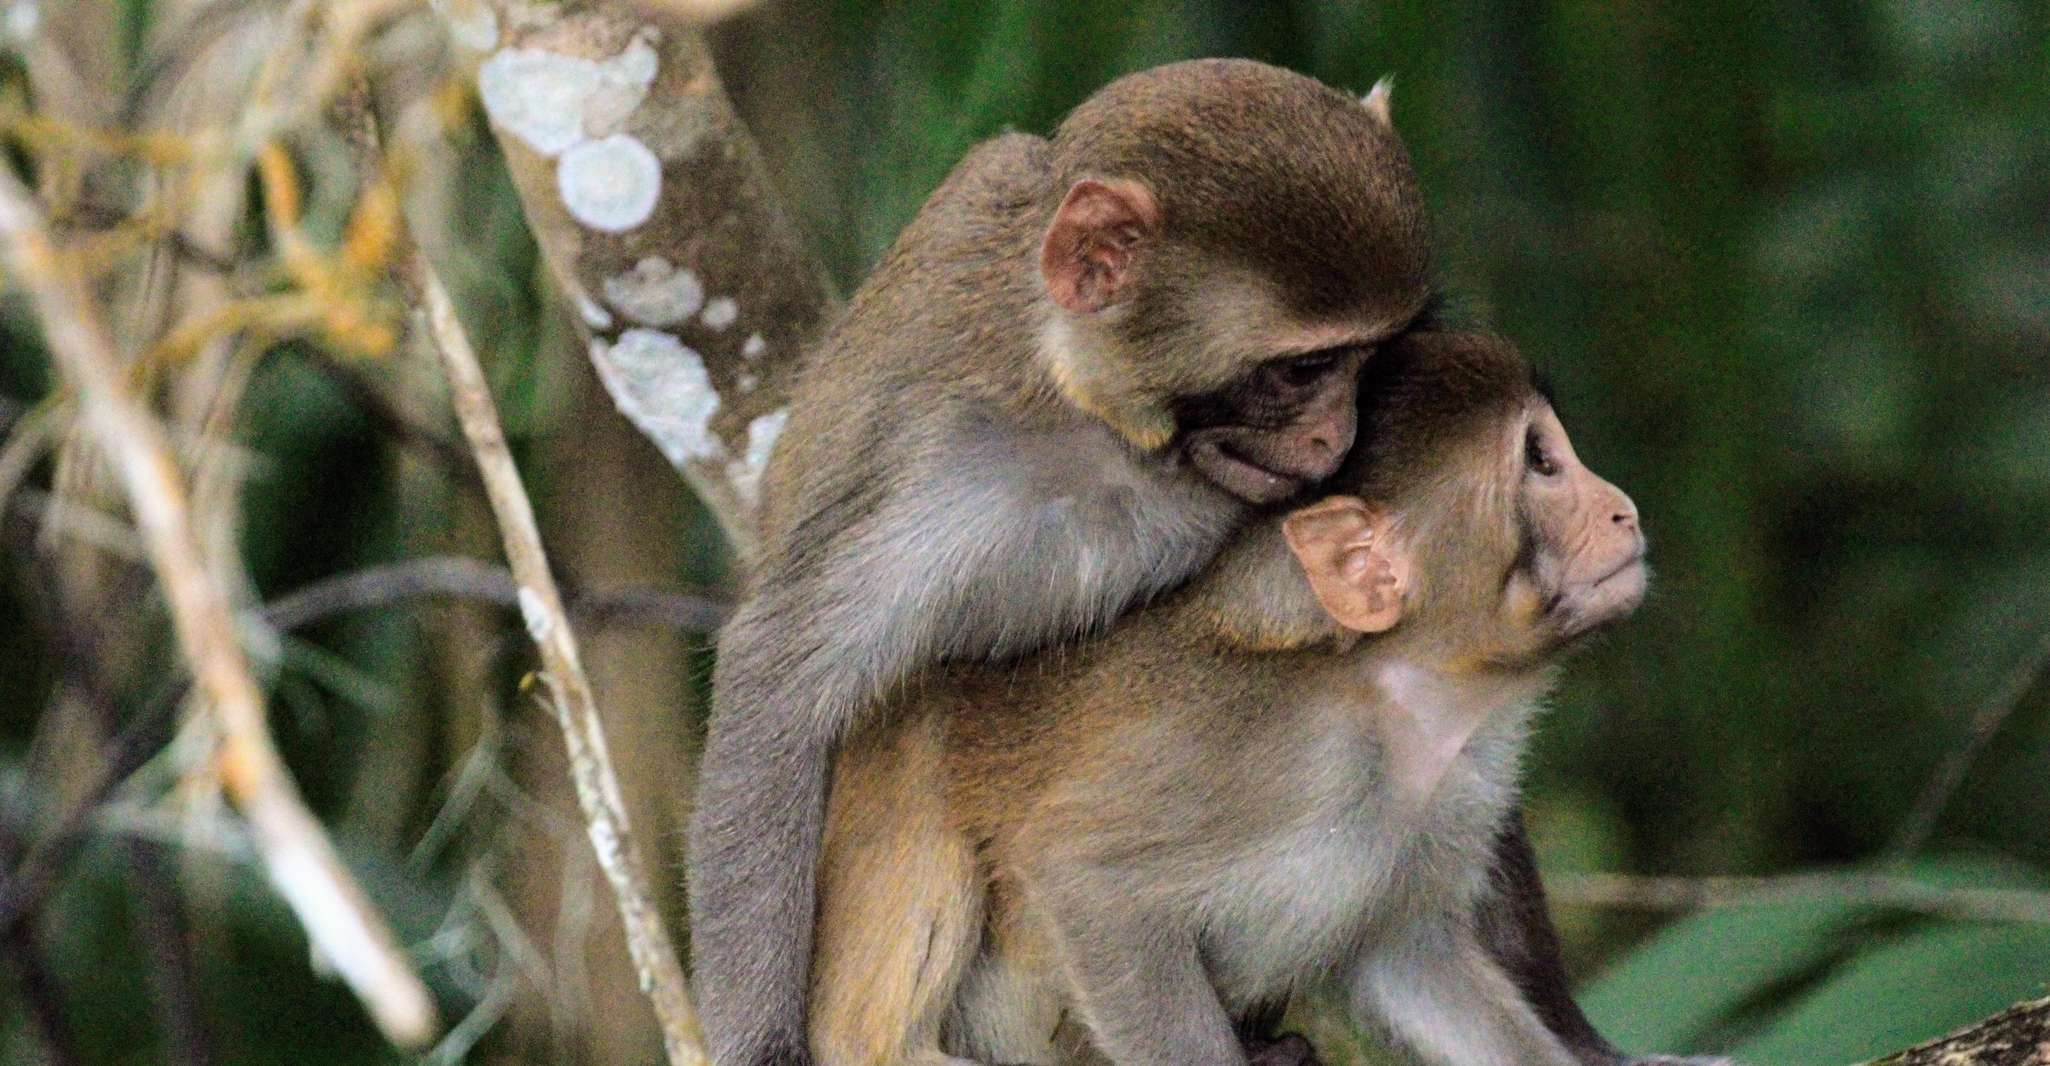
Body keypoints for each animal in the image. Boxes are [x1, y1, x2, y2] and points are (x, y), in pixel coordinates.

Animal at [684, 60, 1426, 1066]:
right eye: (1300, 371)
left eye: (1368, 362)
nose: (1335, 436)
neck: (1092, 418)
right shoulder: (935, 463)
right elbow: (777, 683)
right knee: (917, 704)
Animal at [807, 332, 1738, 1066]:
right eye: (1542, 463)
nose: (1621, 511)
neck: (1406, 712)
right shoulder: (1256, 755)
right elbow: (1084, 880)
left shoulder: (1442, 806)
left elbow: (1404, 958)